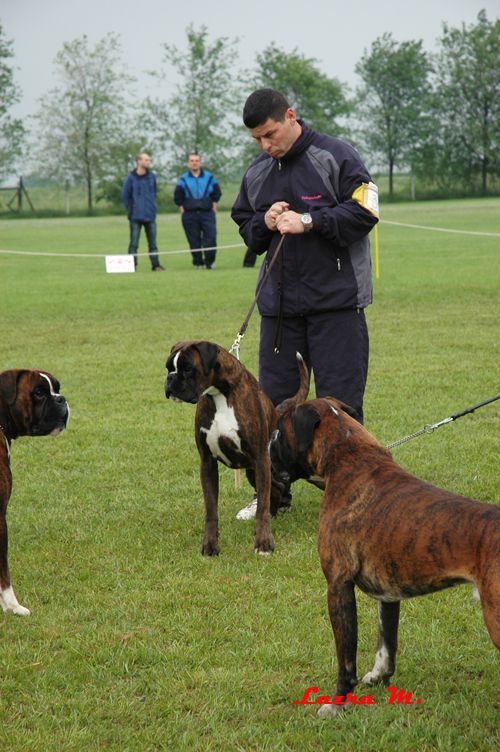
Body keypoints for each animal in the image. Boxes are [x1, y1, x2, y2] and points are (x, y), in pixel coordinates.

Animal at [164, 340, 306, 552]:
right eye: (168, 368)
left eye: (187, 368)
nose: (170, 379)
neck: (219, 394)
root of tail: (275, 412)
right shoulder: (207, 463)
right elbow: (211, 509)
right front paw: (210, 545)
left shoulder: (260, 459)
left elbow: (261, 506)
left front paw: (264, 543)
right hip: (253, 472)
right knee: (278, 488)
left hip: (262, 467)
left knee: (272, 491)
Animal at [272, 396, 500, 712]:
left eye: (279, 432)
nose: (267, 450)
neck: (349, 455)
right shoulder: (389, 592)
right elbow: (386, 644)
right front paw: (379, 677)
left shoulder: (338, 586)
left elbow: (346, 656)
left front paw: (338, 702)